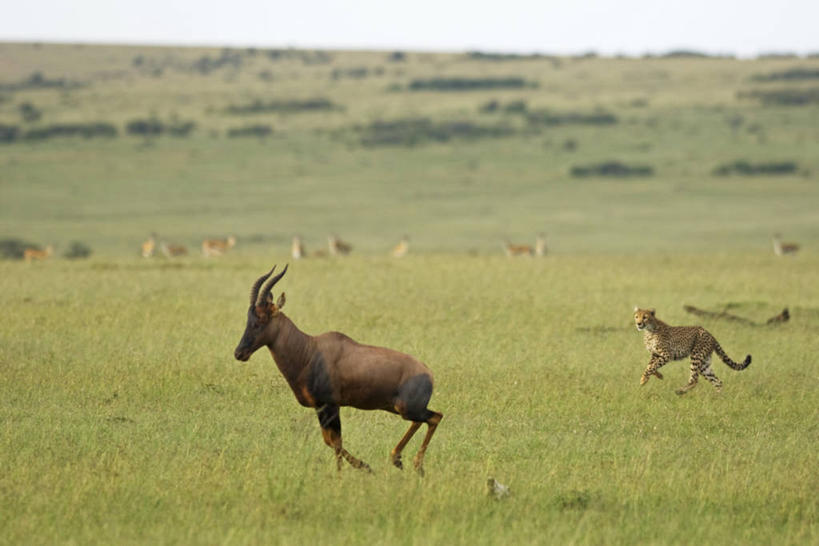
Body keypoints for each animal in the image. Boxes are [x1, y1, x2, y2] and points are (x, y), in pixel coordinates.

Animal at [234, 264, 446, 472]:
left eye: (261, 319)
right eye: (248, 318)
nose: (239, 353)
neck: (309, 351)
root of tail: (429, 373)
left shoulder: (330, 405)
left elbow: (335, 442)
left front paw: (351, 470)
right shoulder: (320, 407)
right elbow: (330, 441)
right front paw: (359, 467)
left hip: (406, 409)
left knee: (435, 417)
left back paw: (412, 463)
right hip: (397, 408)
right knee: (423, 420)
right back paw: (400, 460)